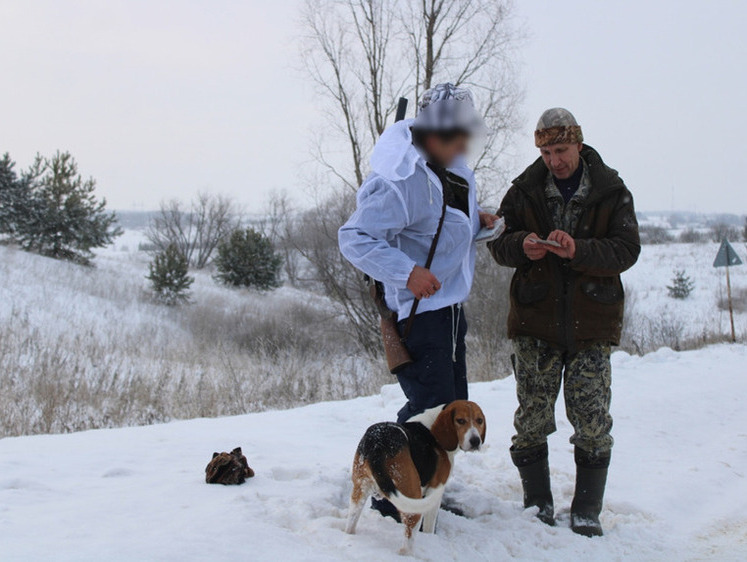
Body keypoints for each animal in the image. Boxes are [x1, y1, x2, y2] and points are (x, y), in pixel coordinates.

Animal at [344, 400, 486, 552]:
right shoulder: (435, 490)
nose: (476, 441)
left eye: (479, 420)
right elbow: (429, 527)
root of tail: (378, 444)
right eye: (460, 420)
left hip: (359, 492)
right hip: (413, 500)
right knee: (406, 545)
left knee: (350, 524)